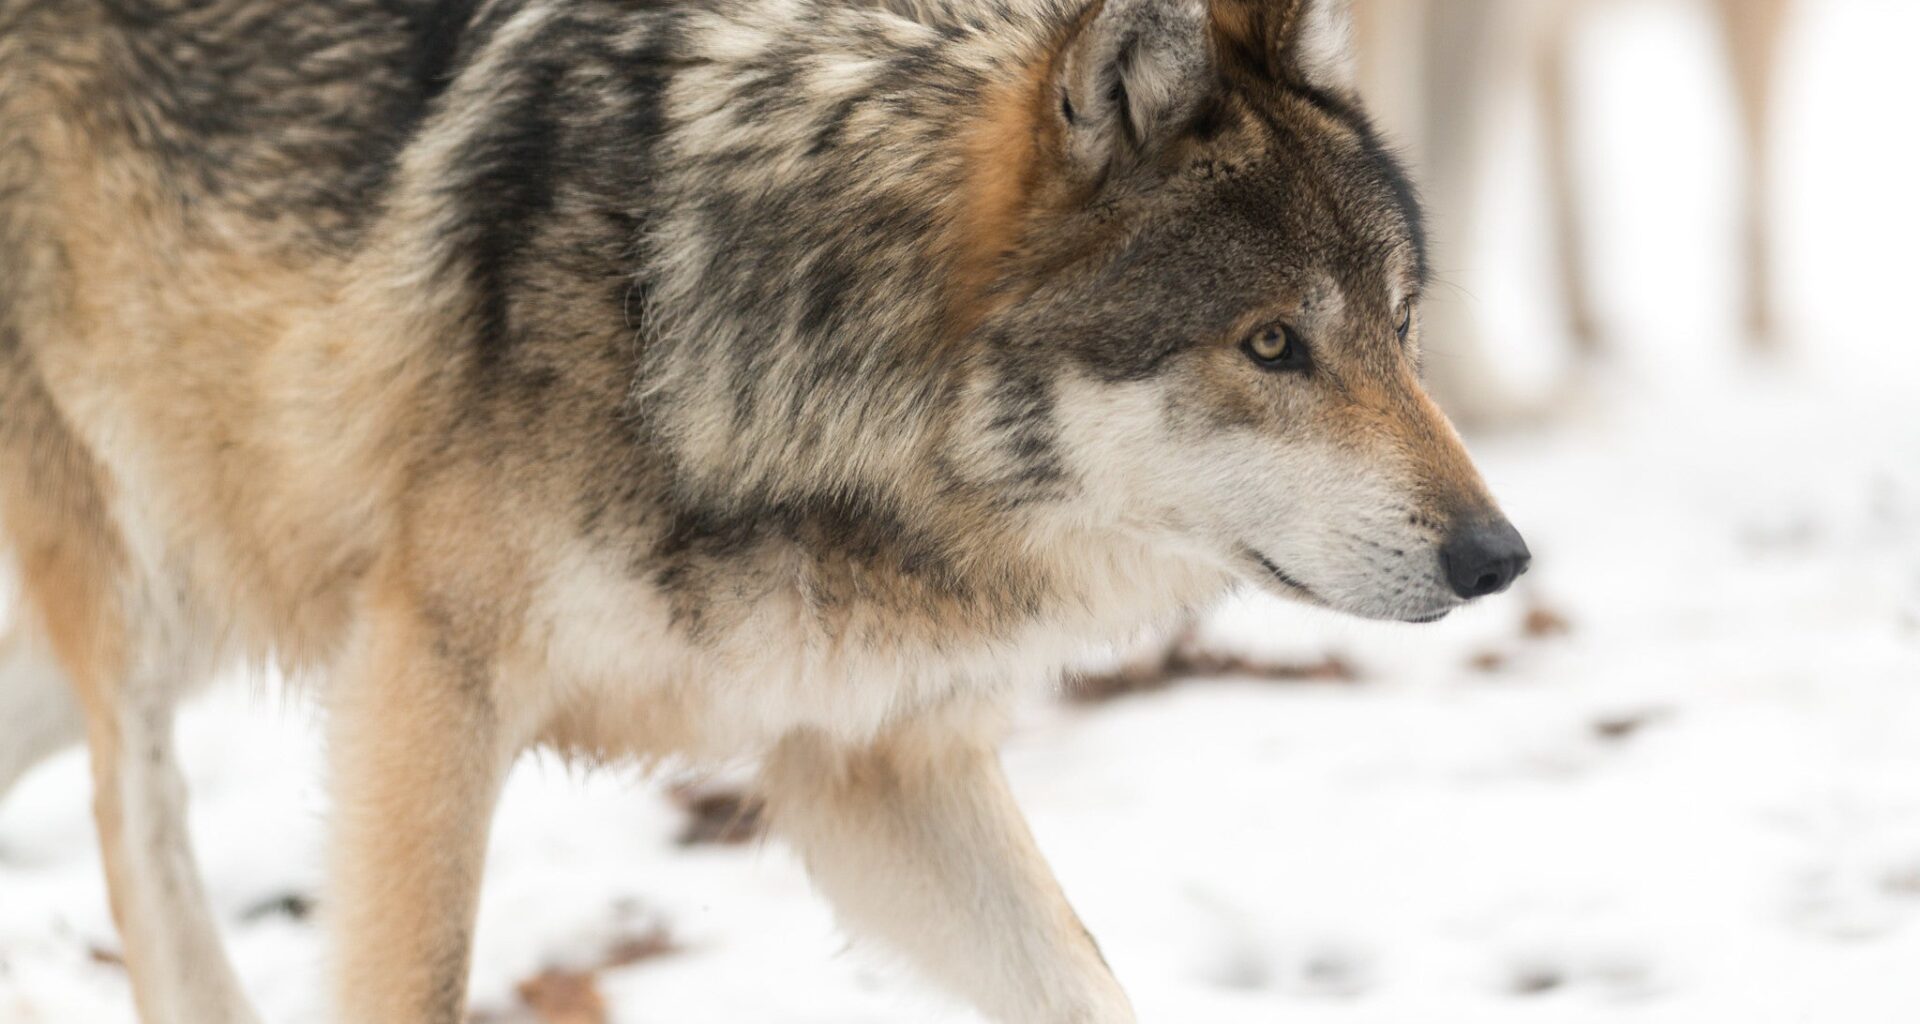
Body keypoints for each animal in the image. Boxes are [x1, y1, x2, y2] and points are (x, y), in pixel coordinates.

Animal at [0, 0, 1528, 1020]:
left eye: (1400, 328)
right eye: (1272, 344)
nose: (1503, 558)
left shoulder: (869, 759)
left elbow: (1087, 982)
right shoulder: (424, 683)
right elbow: (409, 976)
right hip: (141, 595)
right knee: (139, 842)